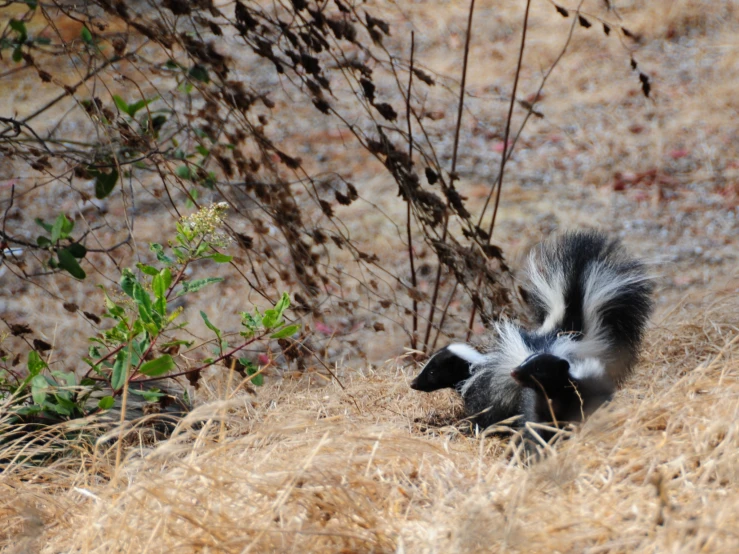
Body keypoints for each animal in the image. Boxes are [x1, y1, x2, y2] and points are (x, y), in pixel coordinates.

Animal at [410, 229, 652, 432]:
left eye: (432, 372)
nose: (413, 383)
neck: (478, 366)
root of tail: (568, 335)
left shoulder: (489, 394)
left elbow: (486, 416)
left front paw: (470, 428)